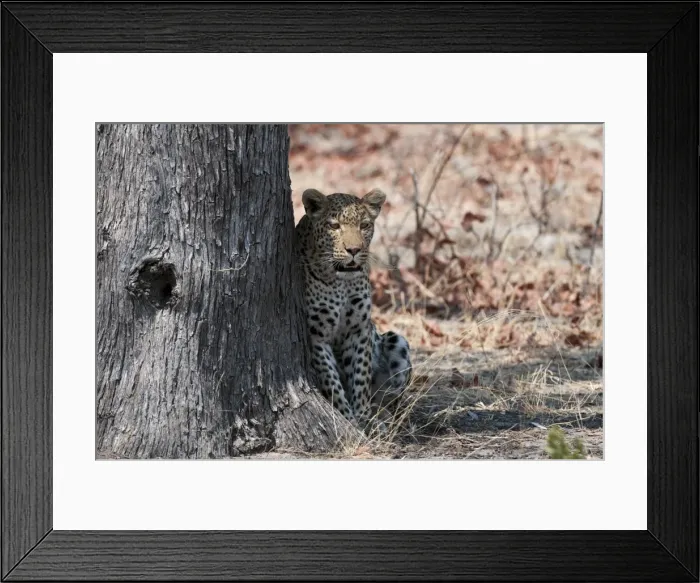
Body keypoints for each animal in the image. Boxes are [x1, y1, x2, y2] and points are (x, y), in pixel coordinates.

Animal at [294, 187, 412, 429]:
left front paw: (364, 417)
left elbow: (360, 376)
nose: (354, 250)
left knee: (391, 399)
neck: (341, 283)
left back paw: (383, 417)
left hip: (398, 342)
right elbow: (332, 381)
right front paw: (348, 420)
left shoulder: (359, 330)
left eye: (364, 225)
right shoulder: (317, 336)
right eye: (334, 226)